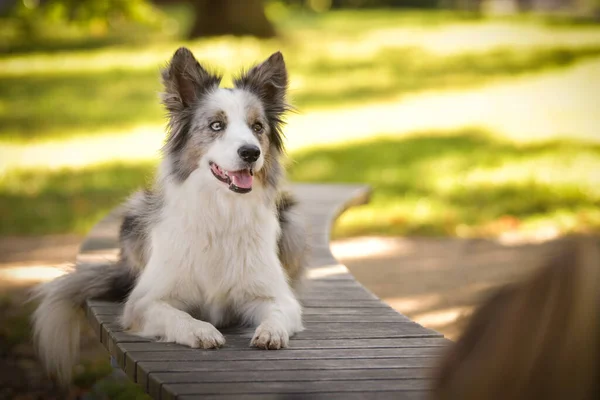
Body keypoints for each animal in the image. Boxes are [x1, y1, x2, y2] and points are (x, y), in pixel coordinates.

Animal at [30, 48, 308, 386]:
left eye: (257, 127)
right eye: (216, 126)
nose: (251, 153)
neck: (220, 212)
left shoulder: (275, 297)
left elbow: (278, 313)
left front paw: (270, 332)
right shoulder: (145, 303)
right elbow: (178, 315)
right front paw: (202, 331)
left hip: (293, 221)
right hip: (134, 213)